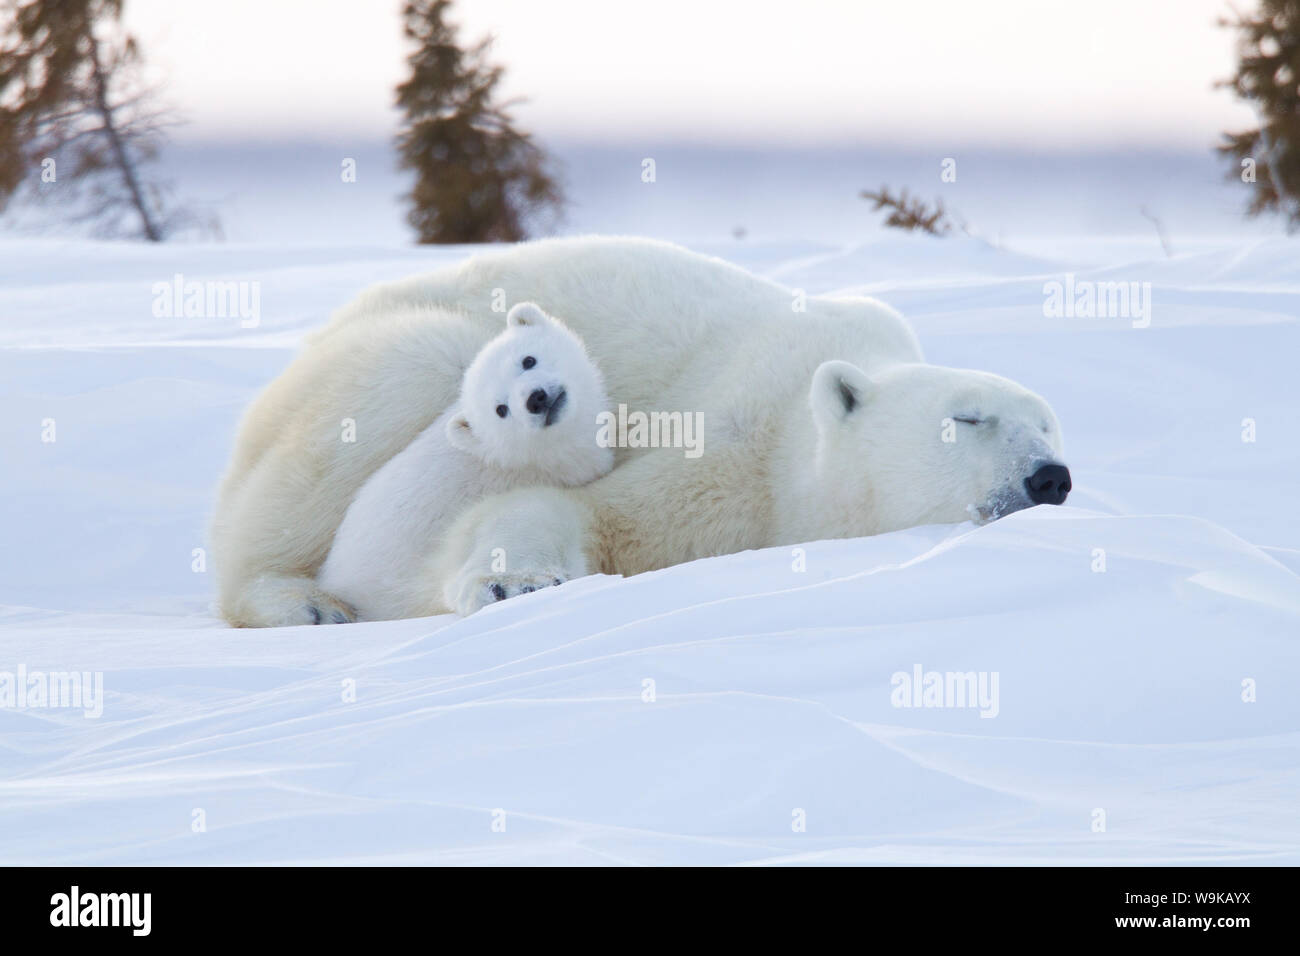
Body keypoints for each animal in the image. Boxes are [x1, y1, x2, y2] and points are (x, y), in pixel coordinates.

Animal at [210, 238, 1066, 624]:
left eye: (1052, 426)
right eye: (968, 417)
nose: (1049, 478)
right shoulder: (734, 434)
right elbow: (600, 513)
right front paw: (515, 582)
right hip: (385, 355)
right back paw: (300, 601)